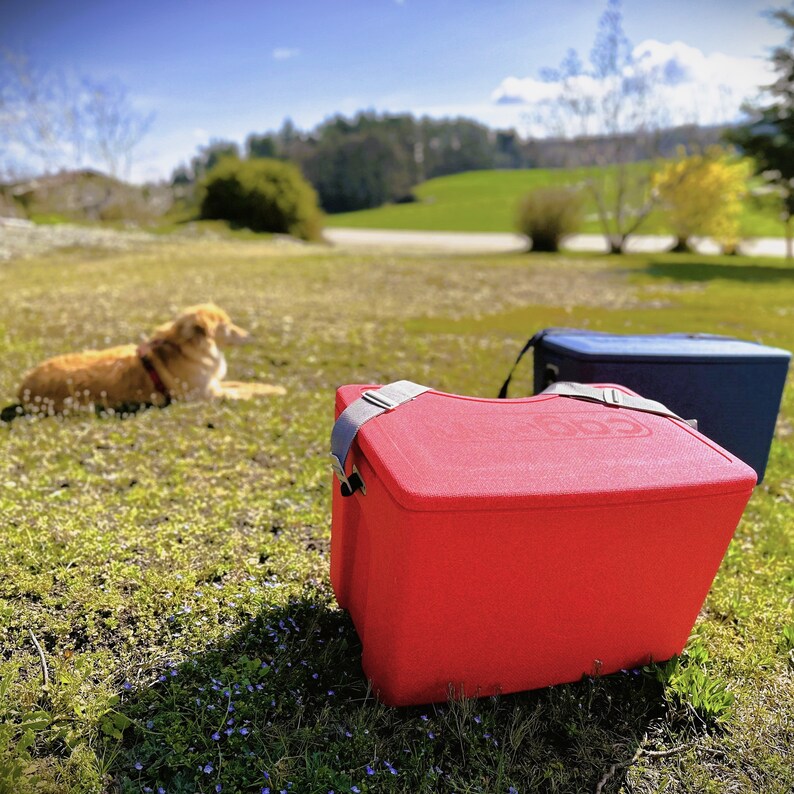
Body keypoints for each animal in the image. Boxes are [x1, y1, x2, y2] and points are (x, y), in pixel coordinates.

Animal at [5, 300, 284, 418]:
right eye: (227, 326)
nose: (249, 335)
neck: (185, 348)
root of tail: (22, 388)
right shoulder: (206, 394)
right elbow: (242, 392)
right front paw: (274, 392)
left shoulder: (213, 384)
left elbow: (245, 384)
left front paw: (274, 387)